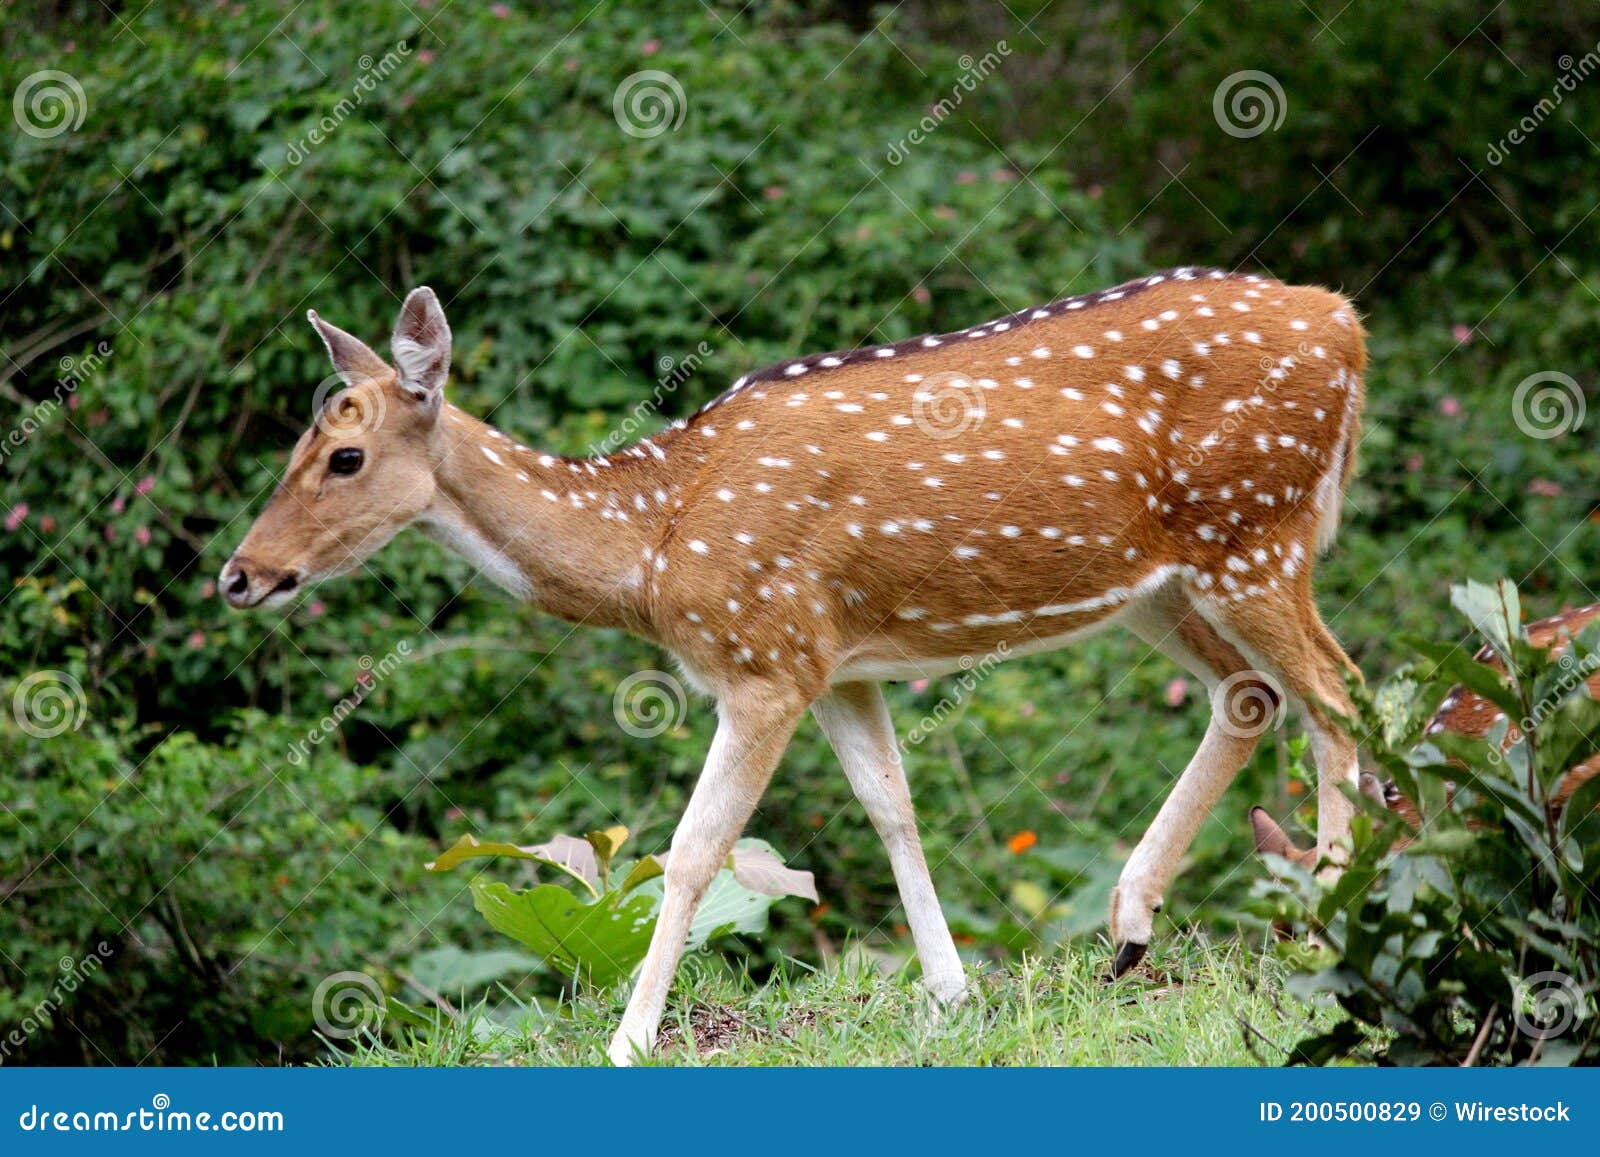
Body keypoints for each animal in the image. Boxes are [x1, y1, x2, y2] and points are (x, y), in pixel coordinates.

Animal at [219, 266, 1367, 1064]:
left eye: (345, 456)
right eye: (294, 446)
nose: (238, 574)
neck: (653, 546)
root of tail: (1348, 324)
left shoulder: (762, 657)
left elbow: (694, 849)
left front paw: (629, 1037)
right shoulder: (837, 661)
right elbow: (892, 805)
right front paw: (953, 995)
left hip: (1255, 533)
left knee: (1338, 692)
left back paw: (1327, 928)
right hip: (1167, 584)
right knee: (1253, 694)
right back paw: (1130, 929)